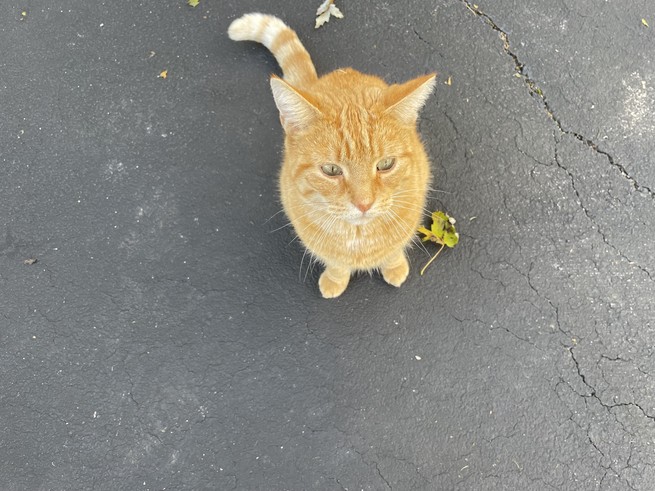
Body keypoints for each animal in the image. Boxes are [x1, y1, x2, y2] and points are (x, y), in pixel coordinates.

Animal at [228, 13, 438, 298]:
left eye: (385, 164)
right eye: (331, 170)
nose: (364, 204)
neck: (359, 237)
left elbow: (393, 251)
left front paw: (394, 267)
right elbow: (337, 265)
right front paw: (335, 280)